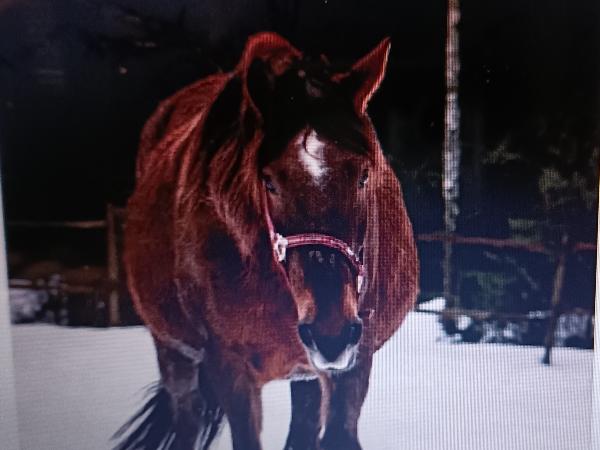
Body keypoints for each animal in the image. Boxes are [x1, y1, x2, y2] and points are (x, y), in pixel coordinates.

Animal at [116, 32, 418, 450]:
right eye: (269, 181)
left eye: (363, 175)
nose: (331, 332)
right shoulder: (230, 369)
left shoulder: (353, 363)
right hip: (173, 352)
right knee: (187, 419)